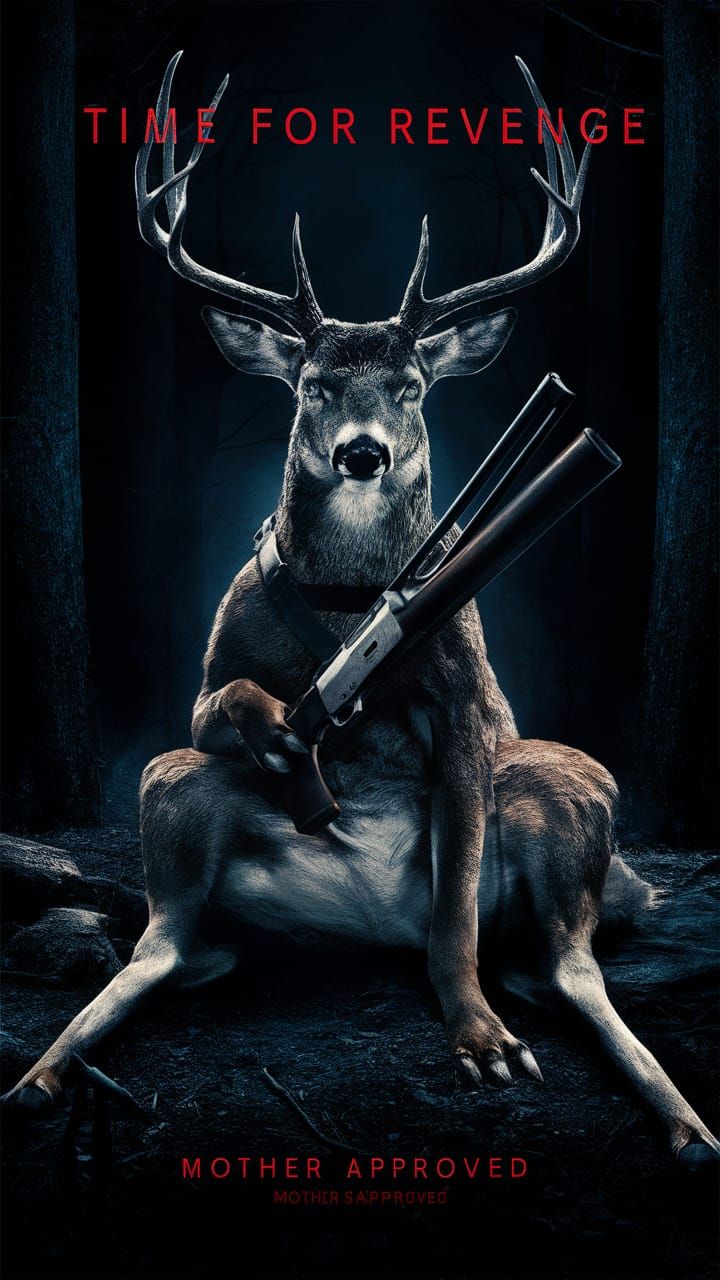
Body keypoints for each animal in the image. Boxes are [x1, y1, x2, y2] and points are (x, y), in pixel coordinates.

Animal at [4, 53, 718, 1170]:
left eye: (414, 384)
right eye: (309, 384)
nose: (364, 453)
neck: (350, 609)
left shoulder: (470, 710)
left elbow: (456, 905)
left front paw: (480, 1040)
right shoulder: (203, 686)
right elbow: (232, 699)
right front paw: (287, 735)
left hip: (560, 787)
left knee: (571, 961)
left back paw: (682, 1119)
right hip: (171, 789)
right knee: (161, 944)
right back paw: (41, 1072)